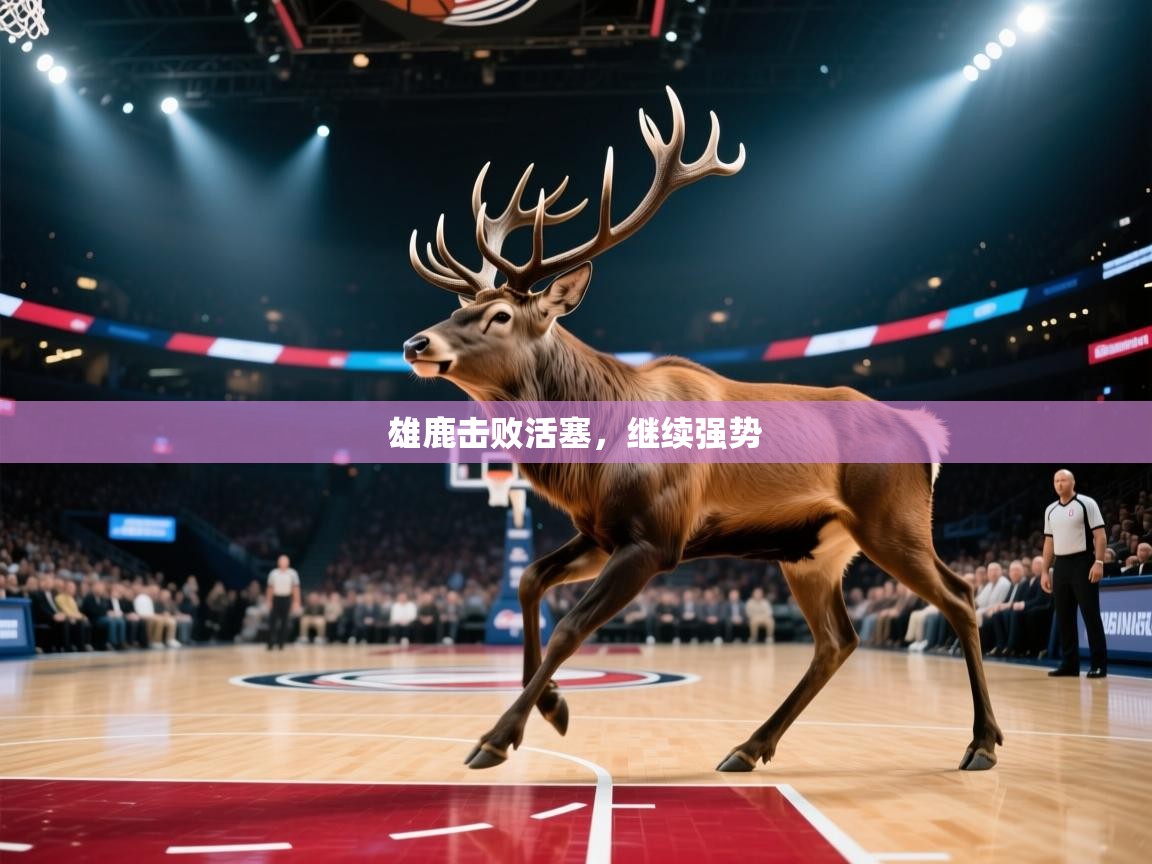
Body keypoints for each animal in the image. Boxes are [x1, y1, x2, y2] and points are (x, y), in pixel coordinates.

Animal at [403, 87, 1002, 774]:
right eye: (459, 307)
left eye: (500, 314)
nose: (416, 342)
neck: (594, 457)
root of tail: (928, 440)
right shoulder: (604, 533)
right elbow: (530, 581)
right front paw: (552, 708)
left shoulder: (656, 538)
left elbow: (571, 626)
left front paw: (498, 737)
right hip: (813, 550)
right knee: (837, 639)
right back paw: (748, 746)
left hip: (892, 520)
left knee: (959, 596)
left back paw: (982, 742)